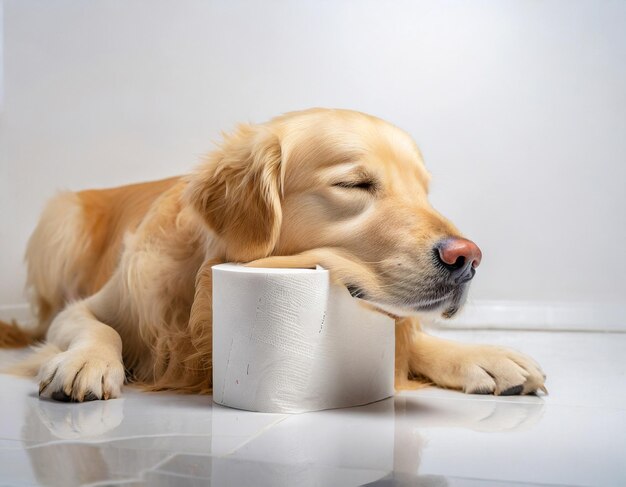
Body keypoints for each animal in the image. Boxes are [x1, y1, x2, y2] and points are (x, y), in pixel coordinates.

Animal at [1, 108, 540, 402]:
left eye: (424, 193)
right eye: (355, 184)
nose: (468, 258)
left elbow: (413, 341)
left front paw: (484, 357)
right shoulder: (84, 309)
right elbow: (100, 329)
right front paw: (84, 363)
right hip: (59, 221)